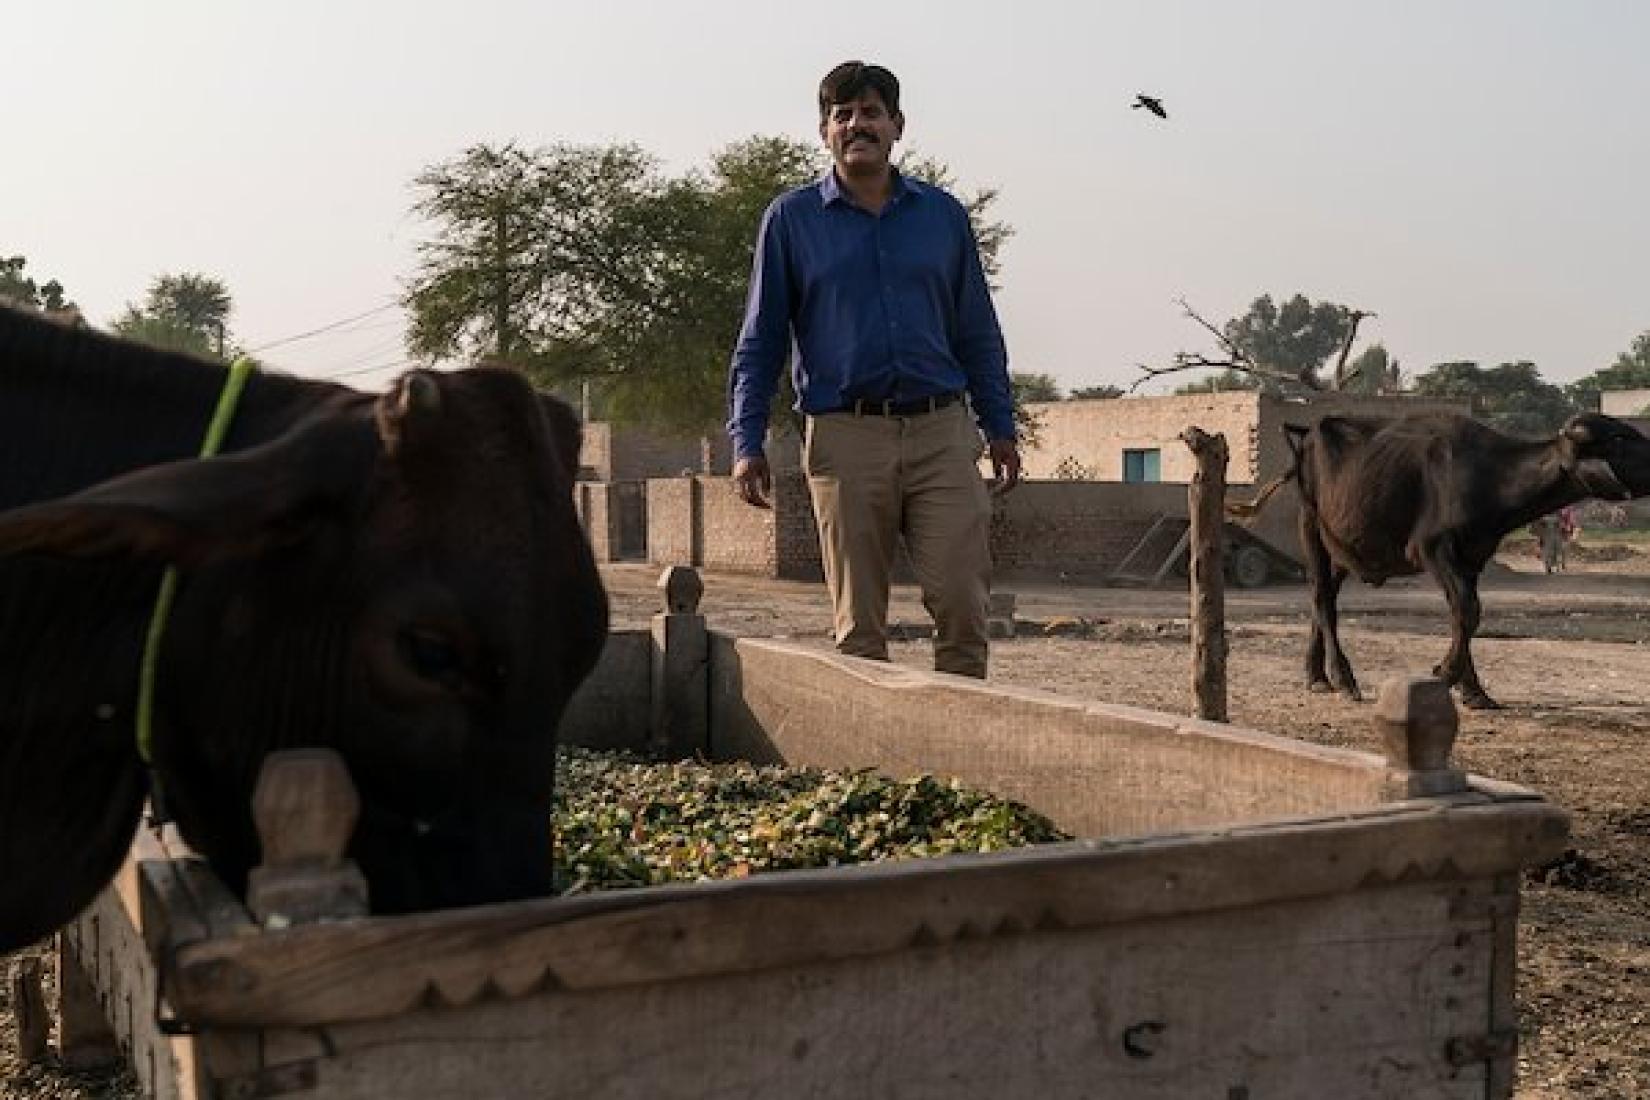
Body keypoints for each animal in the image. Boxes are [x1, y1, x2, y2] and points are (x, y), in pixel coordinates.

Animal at [1234, 408, 1650, 709]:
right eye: (1620, 438)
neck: (1491, 475)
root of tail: (1309, 433)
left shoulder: (1472, 556)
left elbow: (1464, 615)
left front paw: (1474, 691)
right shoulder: (1432, 549)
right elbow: (1467, 611)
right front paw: (1445, 674)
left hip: (1342, 548)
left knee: (1322, 601)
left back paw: (1316, 676)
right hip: (1312, 531)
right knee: (1322, 600)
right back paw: (1342, 678)